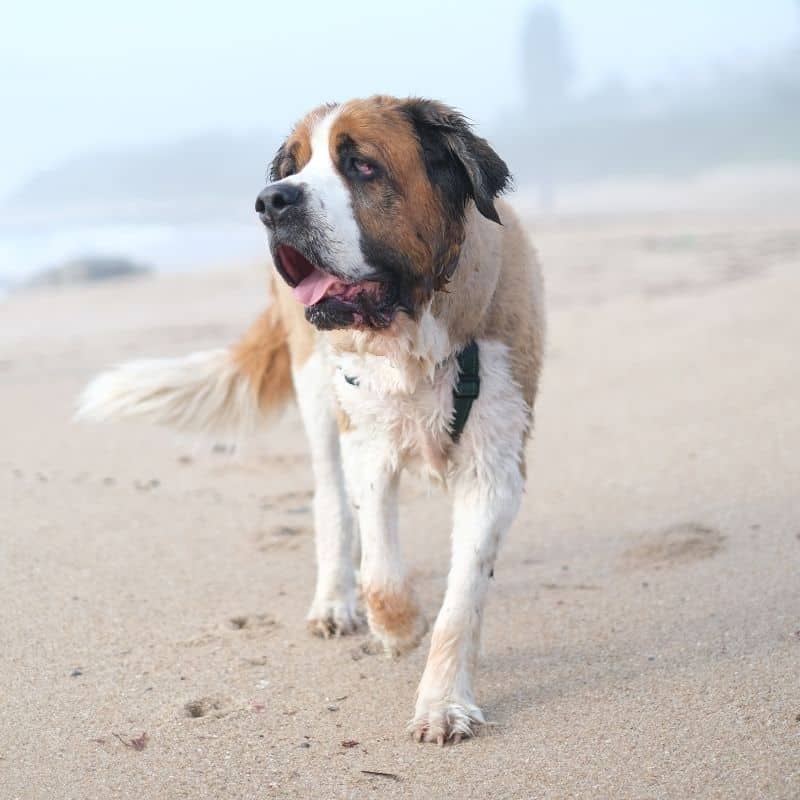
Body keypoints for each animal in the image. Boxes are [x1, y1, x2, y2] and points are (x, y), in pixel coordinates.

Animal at [78, 97, 544, 748]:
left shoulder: (495, 462)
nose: (272, 200)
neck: (413, 335)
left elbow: (464, 595)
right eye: (295, 166)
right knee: (330, 503)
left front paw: (442, 702)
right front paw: (398, 626)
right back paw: (335, 603)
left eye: (361, 165)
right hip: (318, 400)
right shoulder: (365, 440)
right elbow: (378, 566)